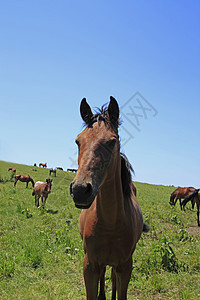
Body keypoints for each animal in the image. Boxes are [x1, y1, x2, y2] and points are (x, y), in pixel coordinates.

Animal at [69, 97, 149, 298]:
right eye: (78, 141)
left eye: (112, 141)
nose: (80, 189)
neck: (110, 224)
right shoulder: (90, 265)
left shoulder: (125, 266)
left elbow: (120, 290)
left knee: (112, 277)